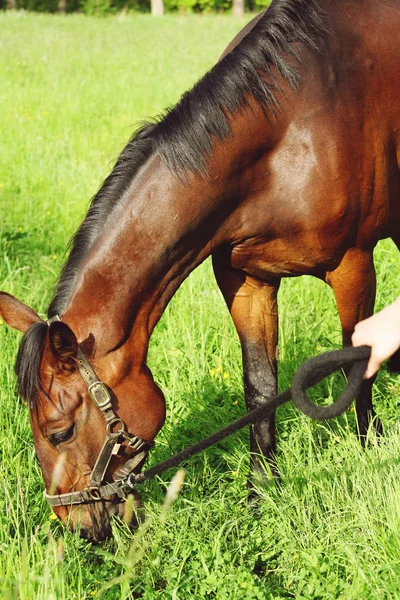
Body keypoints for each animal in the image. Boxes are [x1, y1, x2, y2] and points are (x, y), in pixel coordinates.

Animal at [0, 0, 400, 540]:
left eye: (58, 431)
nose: (79, 526)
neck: (288, 127)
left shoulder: (352, 264)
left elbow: (359, 361)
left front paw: (368, 448)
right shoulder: (245, 280)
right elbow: (260, 389)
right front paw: (259, 496)